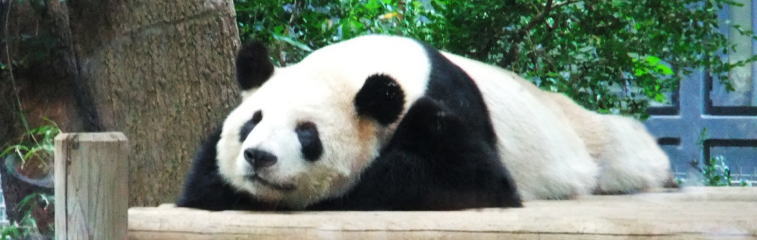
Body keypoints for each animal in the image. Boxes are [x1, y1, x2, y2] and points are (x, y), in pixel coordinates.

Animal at [179, 34, 672, 210]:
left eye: (307, 134)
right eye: (251, 123)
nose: (258, 157)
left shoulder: (448, 106)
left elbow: (470, 179)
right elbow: (203, 182)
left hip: (590, 140)